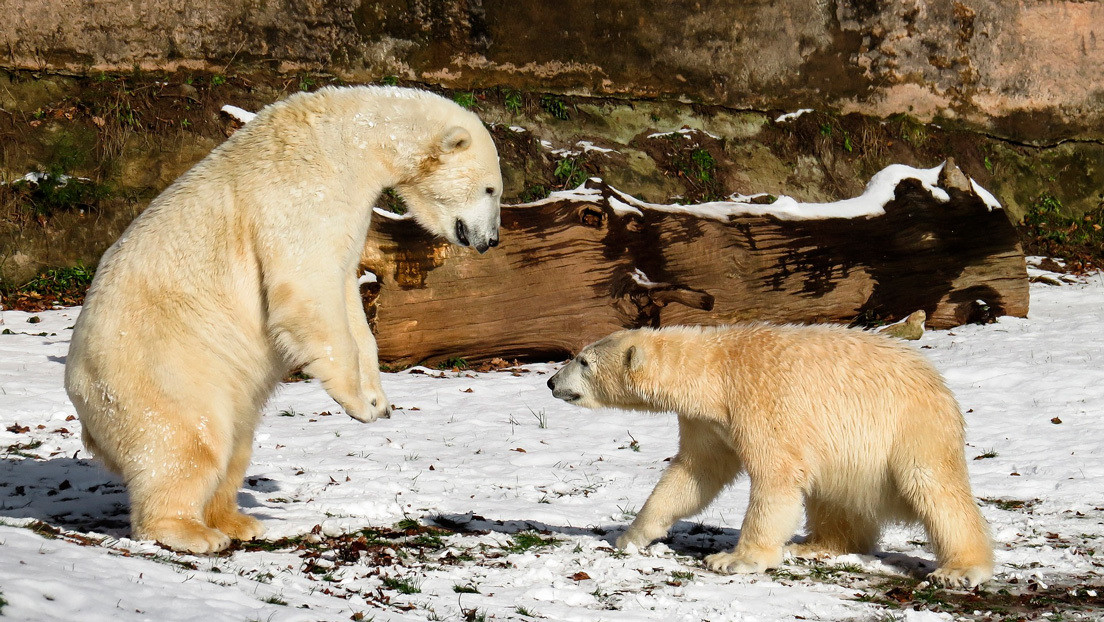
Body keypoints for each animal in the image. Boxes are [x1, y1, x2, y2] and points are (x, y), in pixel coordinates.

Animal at [64, 85, 505, 552]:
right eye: (491, 188)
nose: (491, 240)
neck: (351, 140)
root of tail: (81, 396)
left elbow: (347, 296)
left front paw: (379, 400)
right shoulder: (302, 193)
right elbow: (307, 284)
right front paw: (358, 405)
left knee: (237, 442)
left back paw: (238, 521)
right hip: (162, 367)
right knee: (187, 439)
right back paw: (191, 531)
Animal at [547, 324, 998, 592]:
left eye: (583, 360)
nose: (551, 381)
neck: (717, 372)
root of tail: (939, 383)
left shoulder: (763, 399)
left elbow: (776, 476)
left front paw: (735, 560)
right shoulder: (708, 421)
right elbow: (695, 473)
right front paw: (630, 536)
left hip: (910, 426)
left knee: (933, 486)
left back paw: (959, 569)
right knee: (832, 493)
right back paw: (816, 546)